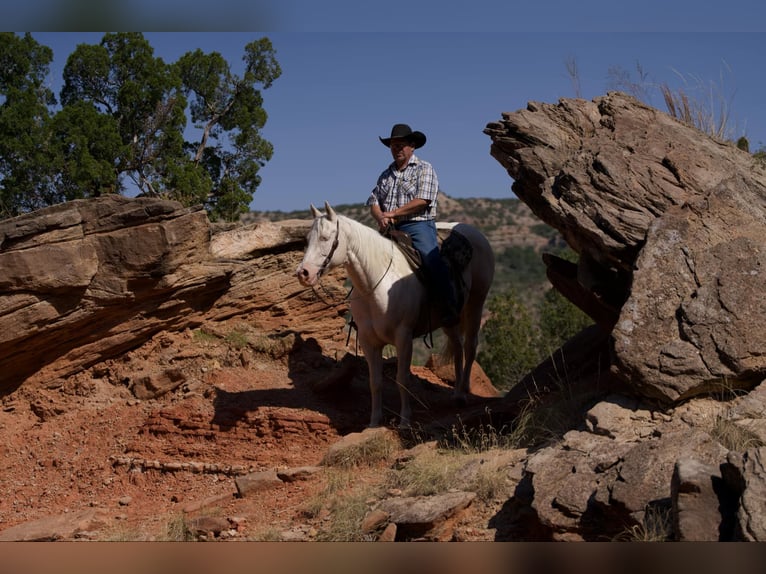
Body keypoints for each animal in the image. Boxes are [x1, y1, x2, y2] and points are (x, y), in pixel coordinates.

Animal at [294, 200, 498, 430]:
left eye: (325, 238)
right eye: (307, 239)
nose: (303, 273)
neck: (375, 283)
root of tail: (474, 233)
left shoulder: (403, 337)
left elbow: (402, 379)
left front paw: (405, 421)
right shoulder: (368, 341)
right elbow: (375, 382)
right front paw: (374, 423)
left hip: (476, 304)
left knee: (470, 347)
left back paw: (463, 395)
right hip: (450, 319)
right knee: (457, 347)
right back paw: (456, 395)